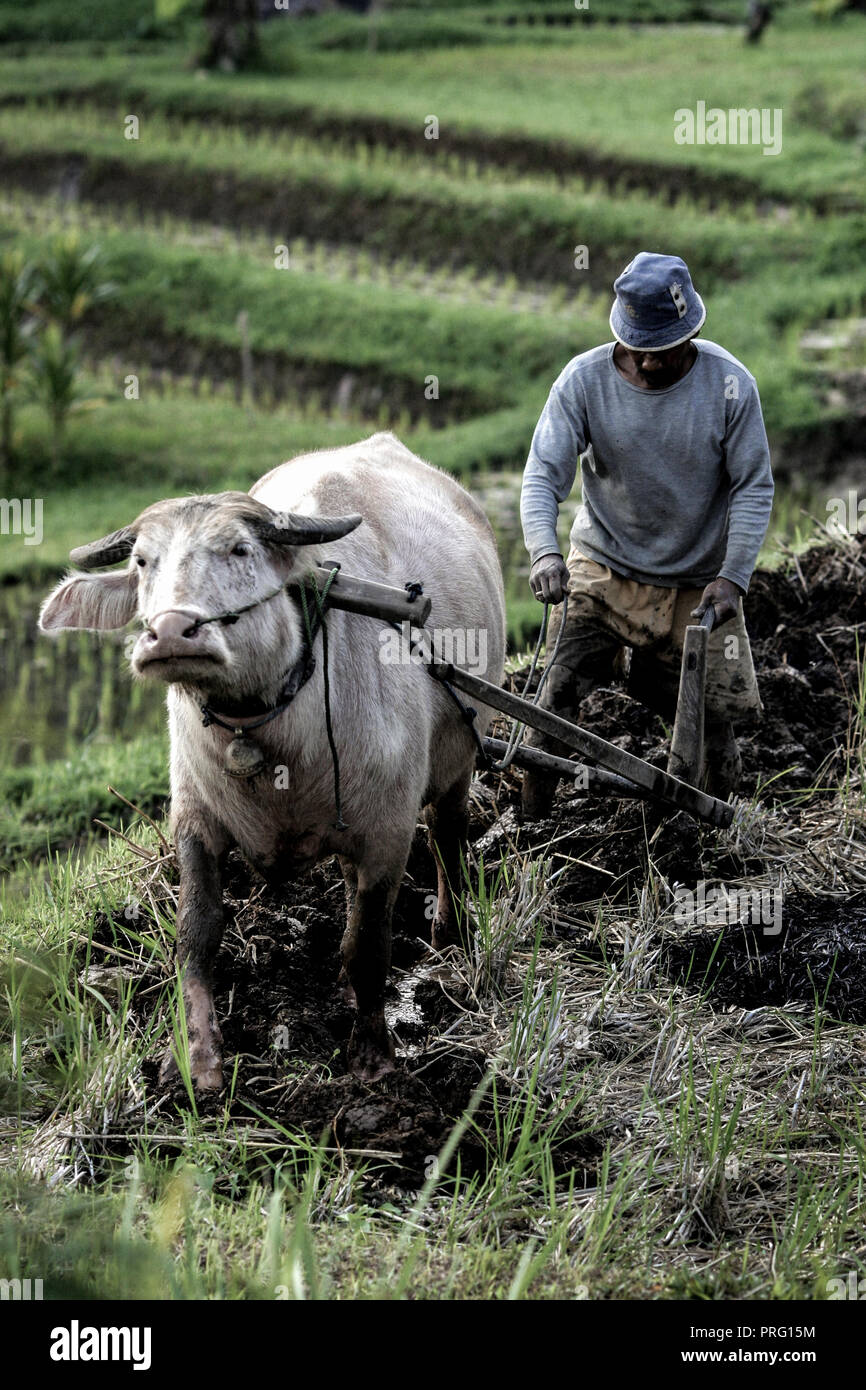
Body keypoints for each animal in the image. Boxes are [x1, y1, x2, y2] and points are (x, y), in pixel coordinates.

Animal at [40, 430, 508, 1084]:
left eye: (239, 549)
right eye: (142, 562)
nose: (171, 633)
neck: (273, 738)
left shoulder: (389, 832)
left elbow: (369, 946)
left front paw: (373, 1057)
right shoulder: (195, 820)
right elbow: (196, 937)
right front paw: (201, 1062)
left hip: (461, 757)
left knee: (447, 836)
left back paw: (447, 928)